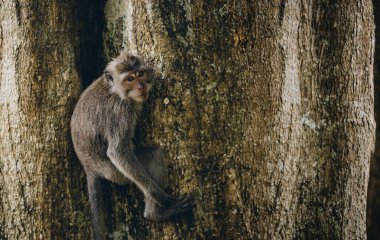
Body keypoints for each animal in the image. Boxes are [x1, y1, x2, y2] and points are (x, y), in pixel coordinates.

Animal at [71, 52, 194, 240]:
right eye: (129, 79)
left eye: (140, 74)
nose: (141, 87)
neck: (115, 90)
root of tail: (88, 167)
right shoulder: (119, 112)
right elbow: (117, 152)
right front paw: (162, 197)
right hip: (115, 173)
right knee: (154, 156)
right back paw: (155, 213)